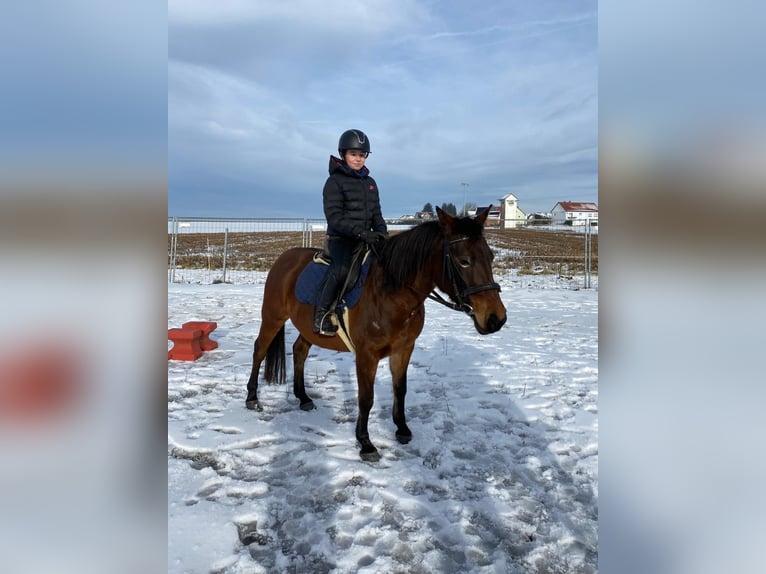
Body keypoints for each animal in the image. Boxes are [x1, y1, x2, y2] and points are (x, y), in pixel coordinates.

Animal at [248, 207, 510, 464]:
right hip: (272, 318)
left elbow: (400, 389)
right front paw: (365, 443)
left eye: (491, 257)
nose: (496, 318)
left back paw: (303, 398)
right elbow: (366, 398)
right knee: (260, 349)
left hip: (309, 330)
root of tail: (285, 258)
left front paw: (402, 429)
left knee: (299, 351)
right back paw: (252, 397)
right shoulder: (367, 355)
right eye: (464, 261)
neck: (392, 295)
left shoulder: (404, 349)